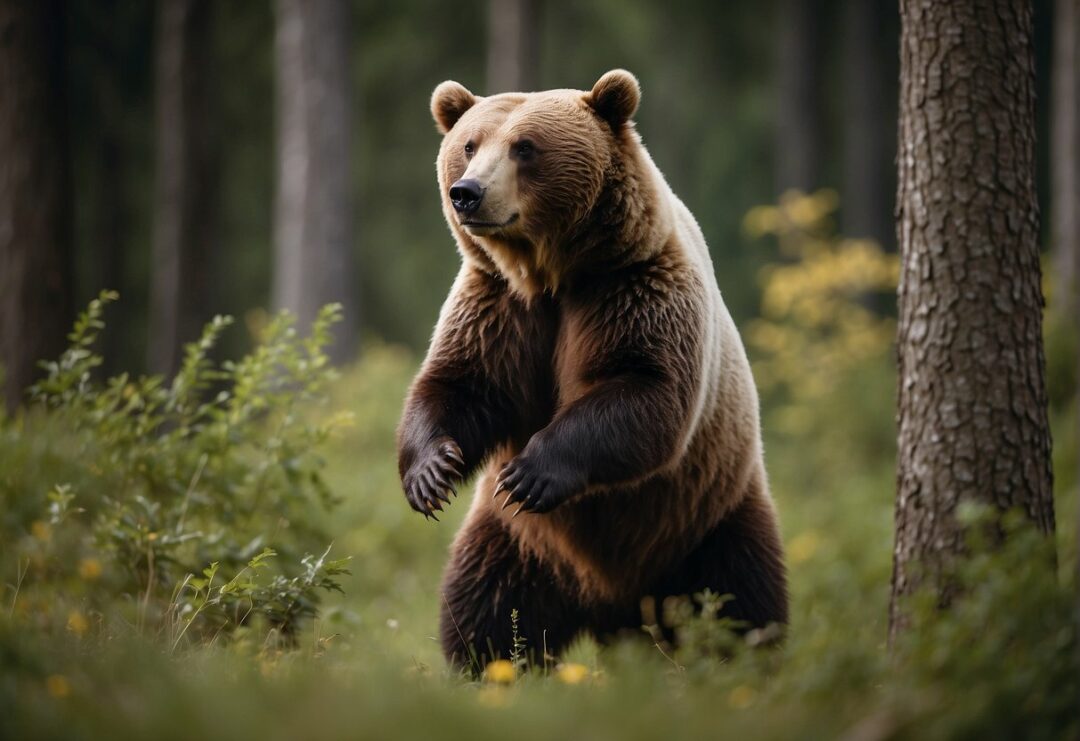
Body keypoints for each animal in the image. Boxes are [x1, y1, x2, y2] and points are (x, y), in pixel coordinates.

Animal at [397, 69, 788, 669]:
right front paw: (430, 474)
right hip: (519, 546)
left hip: (709, 520)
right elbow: (460, 383)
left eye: (524, 147)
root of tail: (616, 610)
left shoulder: (634, 288)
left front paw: (529, 473)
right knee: (484, 609)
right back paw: (485, 671)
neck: (552, 275)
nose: (467, 192)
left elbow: (646, 390)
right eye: (469, 144)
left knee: (742, 602)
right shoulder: (500, 307)